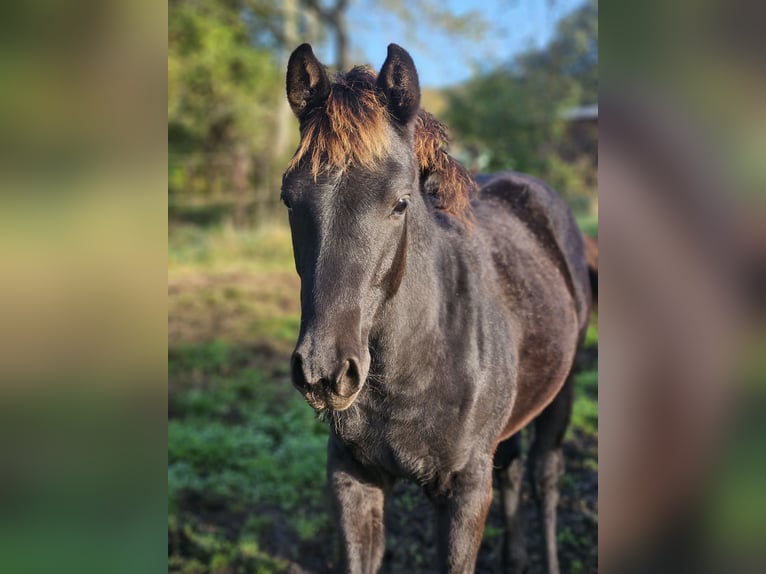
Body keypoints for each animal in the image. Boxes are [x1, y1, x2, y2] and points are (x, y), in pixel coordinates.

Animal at [282, 42, 592, 572]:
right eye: (288, 198)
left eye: (400, 202)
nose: (325, 372)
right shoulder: (352, 478)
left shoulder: (465, 489)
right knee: (512, 472)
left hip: (563, 391)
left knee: (544, 480)